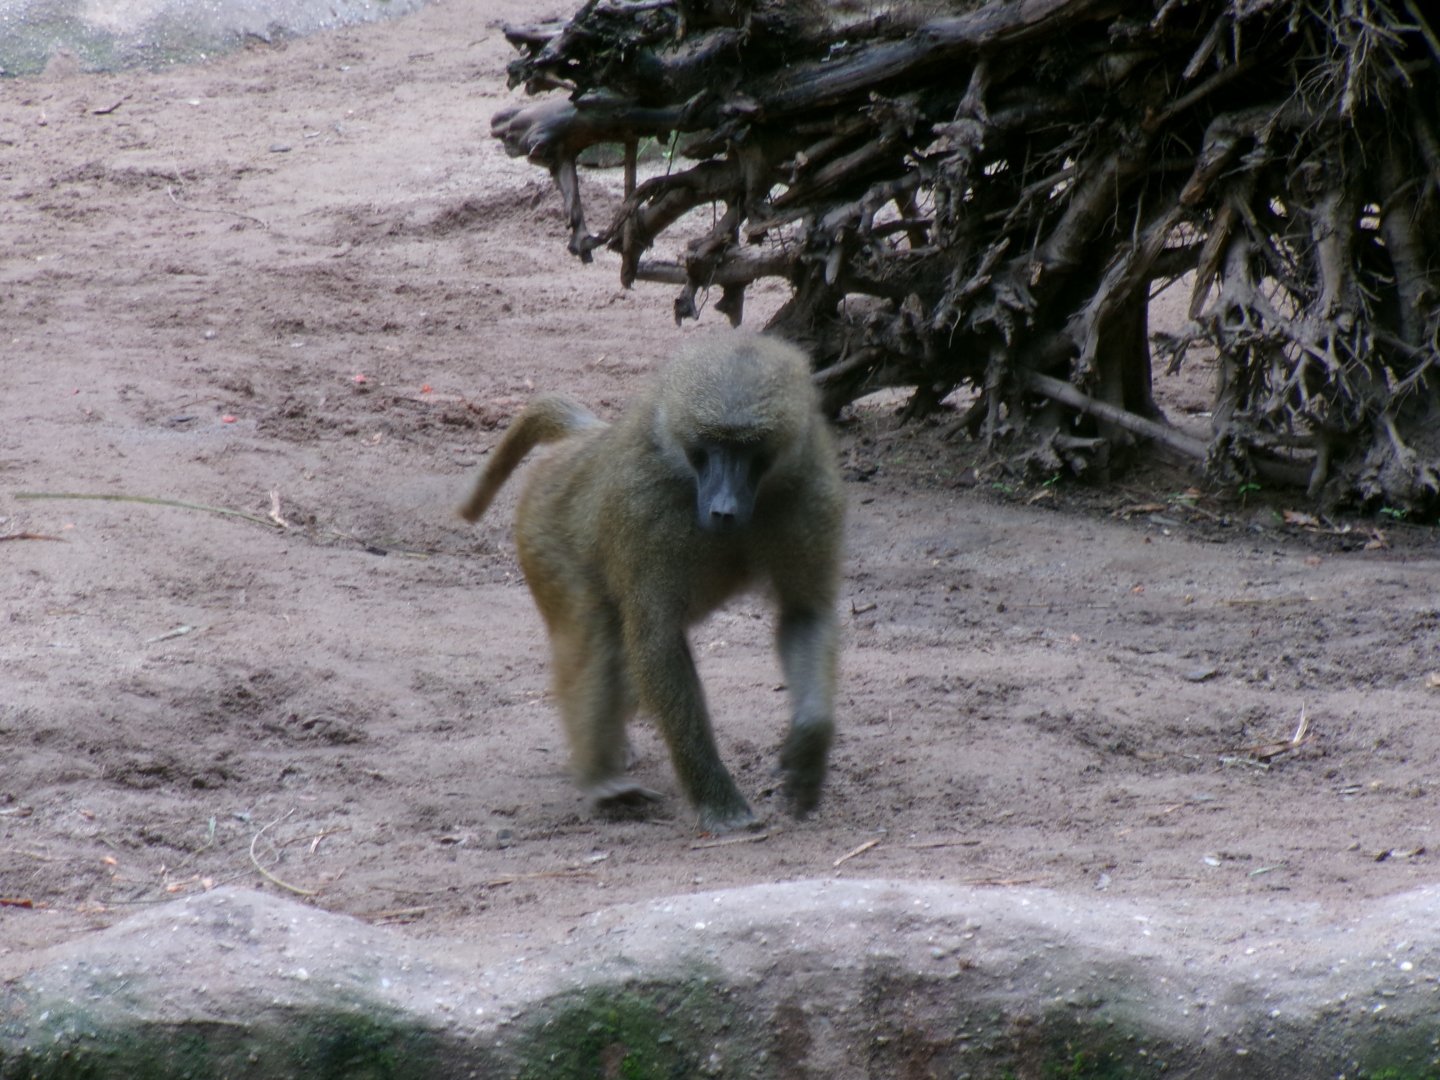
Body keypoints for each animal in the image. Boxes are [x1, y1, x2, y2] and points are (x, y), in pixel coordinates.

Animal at [460, 332, 844, 833]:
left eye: (750, 448)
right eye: (711, 444)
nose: (723, 510)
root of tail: (585, 439)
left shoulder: (810, 492)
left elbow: (805, 614)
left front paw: (808, 748)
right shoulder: (642, 506)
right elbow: (657, 640)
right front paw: (719, 802)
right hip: (543, 530)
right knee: (596, 632)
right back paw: (602, 780)